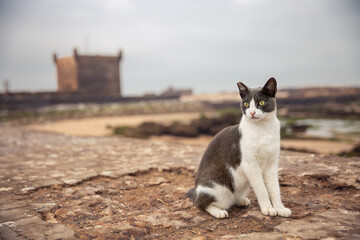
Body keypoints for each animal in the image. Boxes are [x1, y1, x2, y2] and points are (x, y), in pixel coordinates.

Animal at [187, 78, 292, 218]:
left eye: (261, 102)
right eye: (246, 104)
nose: (252, 112)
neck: (263, 129)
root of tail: (196, 193)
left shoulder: (272, 163)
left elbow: (275, 188)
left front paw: (280, 208)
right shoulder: (251, 164)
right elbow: (262, 189)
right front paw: (268, 208)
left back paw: (241, 200)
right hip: (216, 187)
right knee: (201, 204)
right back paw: (218, 211)